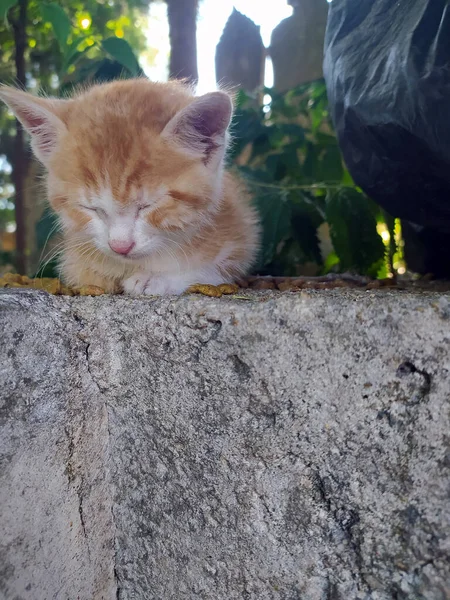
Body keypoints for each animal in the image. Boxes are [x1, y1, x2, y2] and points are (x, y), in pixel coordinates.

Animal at [0, 79, 260, 296]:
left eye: (148, 206)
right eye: (91, 208)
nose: (120, 247)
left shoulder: (241, 234)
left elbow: (217, 272)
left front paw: (156, 279)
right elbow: (85, 273)